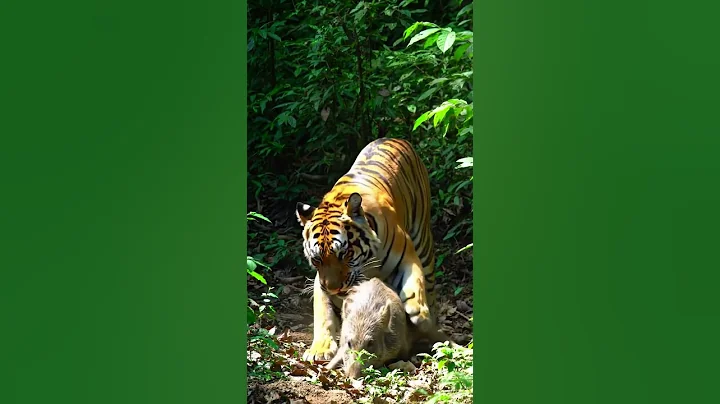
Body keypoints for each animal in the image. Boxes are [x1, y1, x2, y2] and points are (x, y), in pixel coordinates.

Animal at [295, 137, 439, 361]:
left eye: (344, 254)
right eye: (317, 259)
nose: (334, 289)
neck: (366, 264)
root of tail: (394, 138)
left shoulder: (408, 257)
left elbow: (414, 281)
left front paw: (418, 310)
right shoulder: (321, 281)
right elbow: (323, 314)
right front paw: (320, 348)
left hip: (423, 242)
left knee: (429, 285)